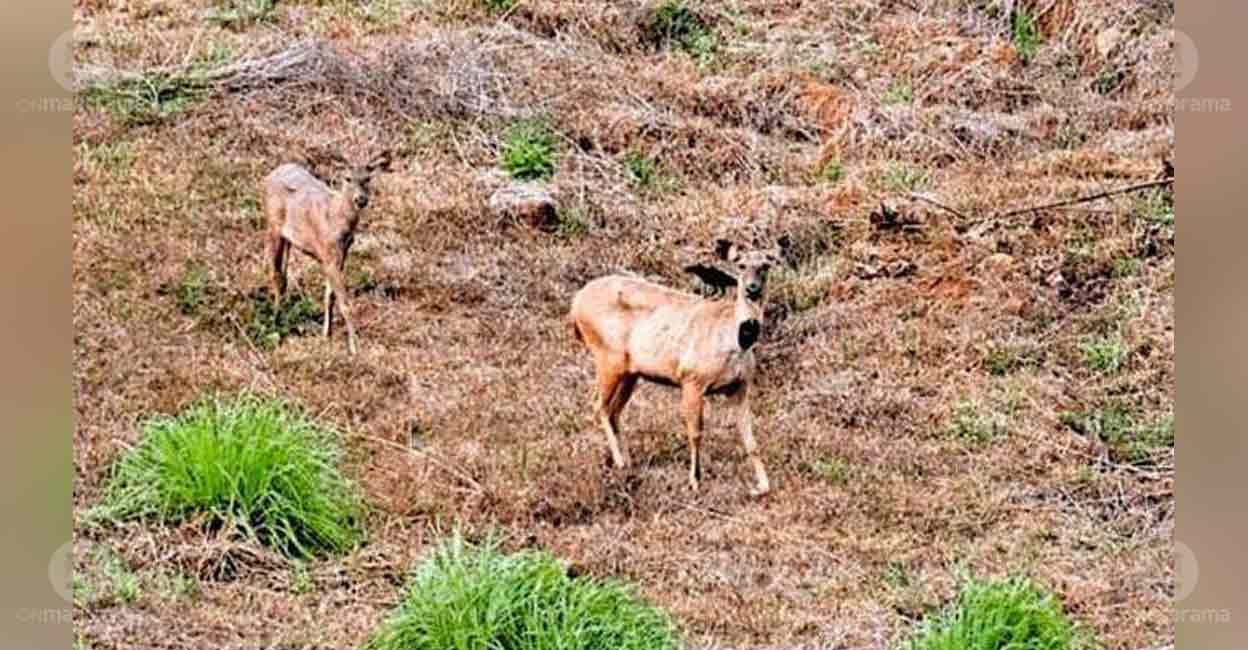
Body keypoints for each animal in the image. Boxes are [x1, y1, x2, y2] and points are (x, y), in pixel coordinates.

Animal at [262, 152, 391, 355]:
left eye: (367, 179)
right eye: (347, 178)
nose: (361, 200)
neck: (338, 219)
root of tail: (271, 174)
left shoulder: (340, 255)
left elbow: (329, 296)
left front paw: (326, 334)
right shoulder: (329, 255)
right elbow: (345, 303)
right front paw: (355, 347)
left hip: (288, 238)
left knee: (283, 274)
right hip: (272, 225)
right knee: (275, 274)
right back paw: (276, 320)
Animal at [568, 238, 781, 497]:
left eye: (765, 266)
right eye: (740, 265)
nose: (752, 288)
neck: (733, 339)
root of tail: (575, 305)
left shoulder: (740, 386)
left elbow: (750, 438)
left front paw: (763, 486)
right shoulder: (691, 379)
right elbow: (695, 432)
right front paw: (695, 482)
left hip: (631, 372)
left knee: (613, 410)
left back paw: (628, 461)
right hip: (609, 356)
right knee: (598, 405)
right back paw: (619, 462)